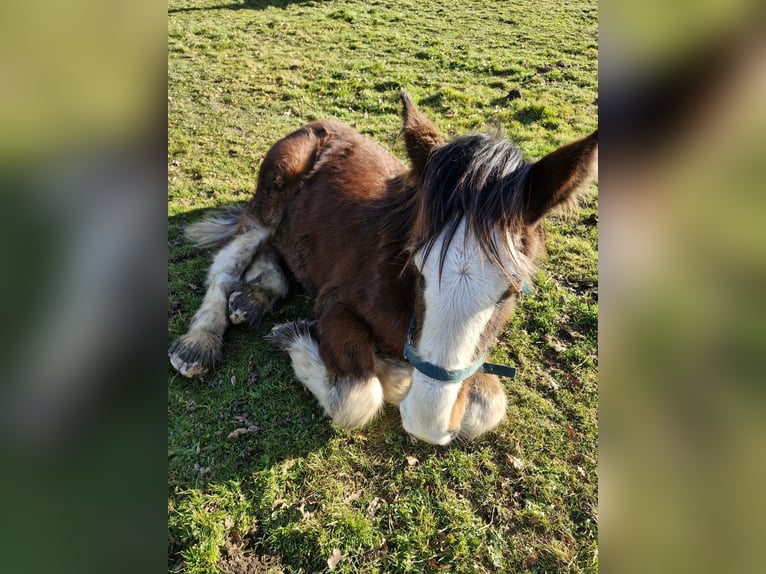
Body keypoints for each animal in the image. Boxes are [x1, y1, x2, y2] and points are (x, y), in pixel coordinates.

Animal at [170, 92, 600, 448]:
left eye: (511, 290)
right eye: (416, 267)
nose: (428, 420)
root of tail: (316, 123)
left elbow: (488, 406)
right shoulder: (335, 303)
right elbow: (358, 398)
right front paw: (297, 336)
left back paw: (254, 297)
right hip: (269, 200)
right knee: (228, 264)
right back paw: (199, 343)